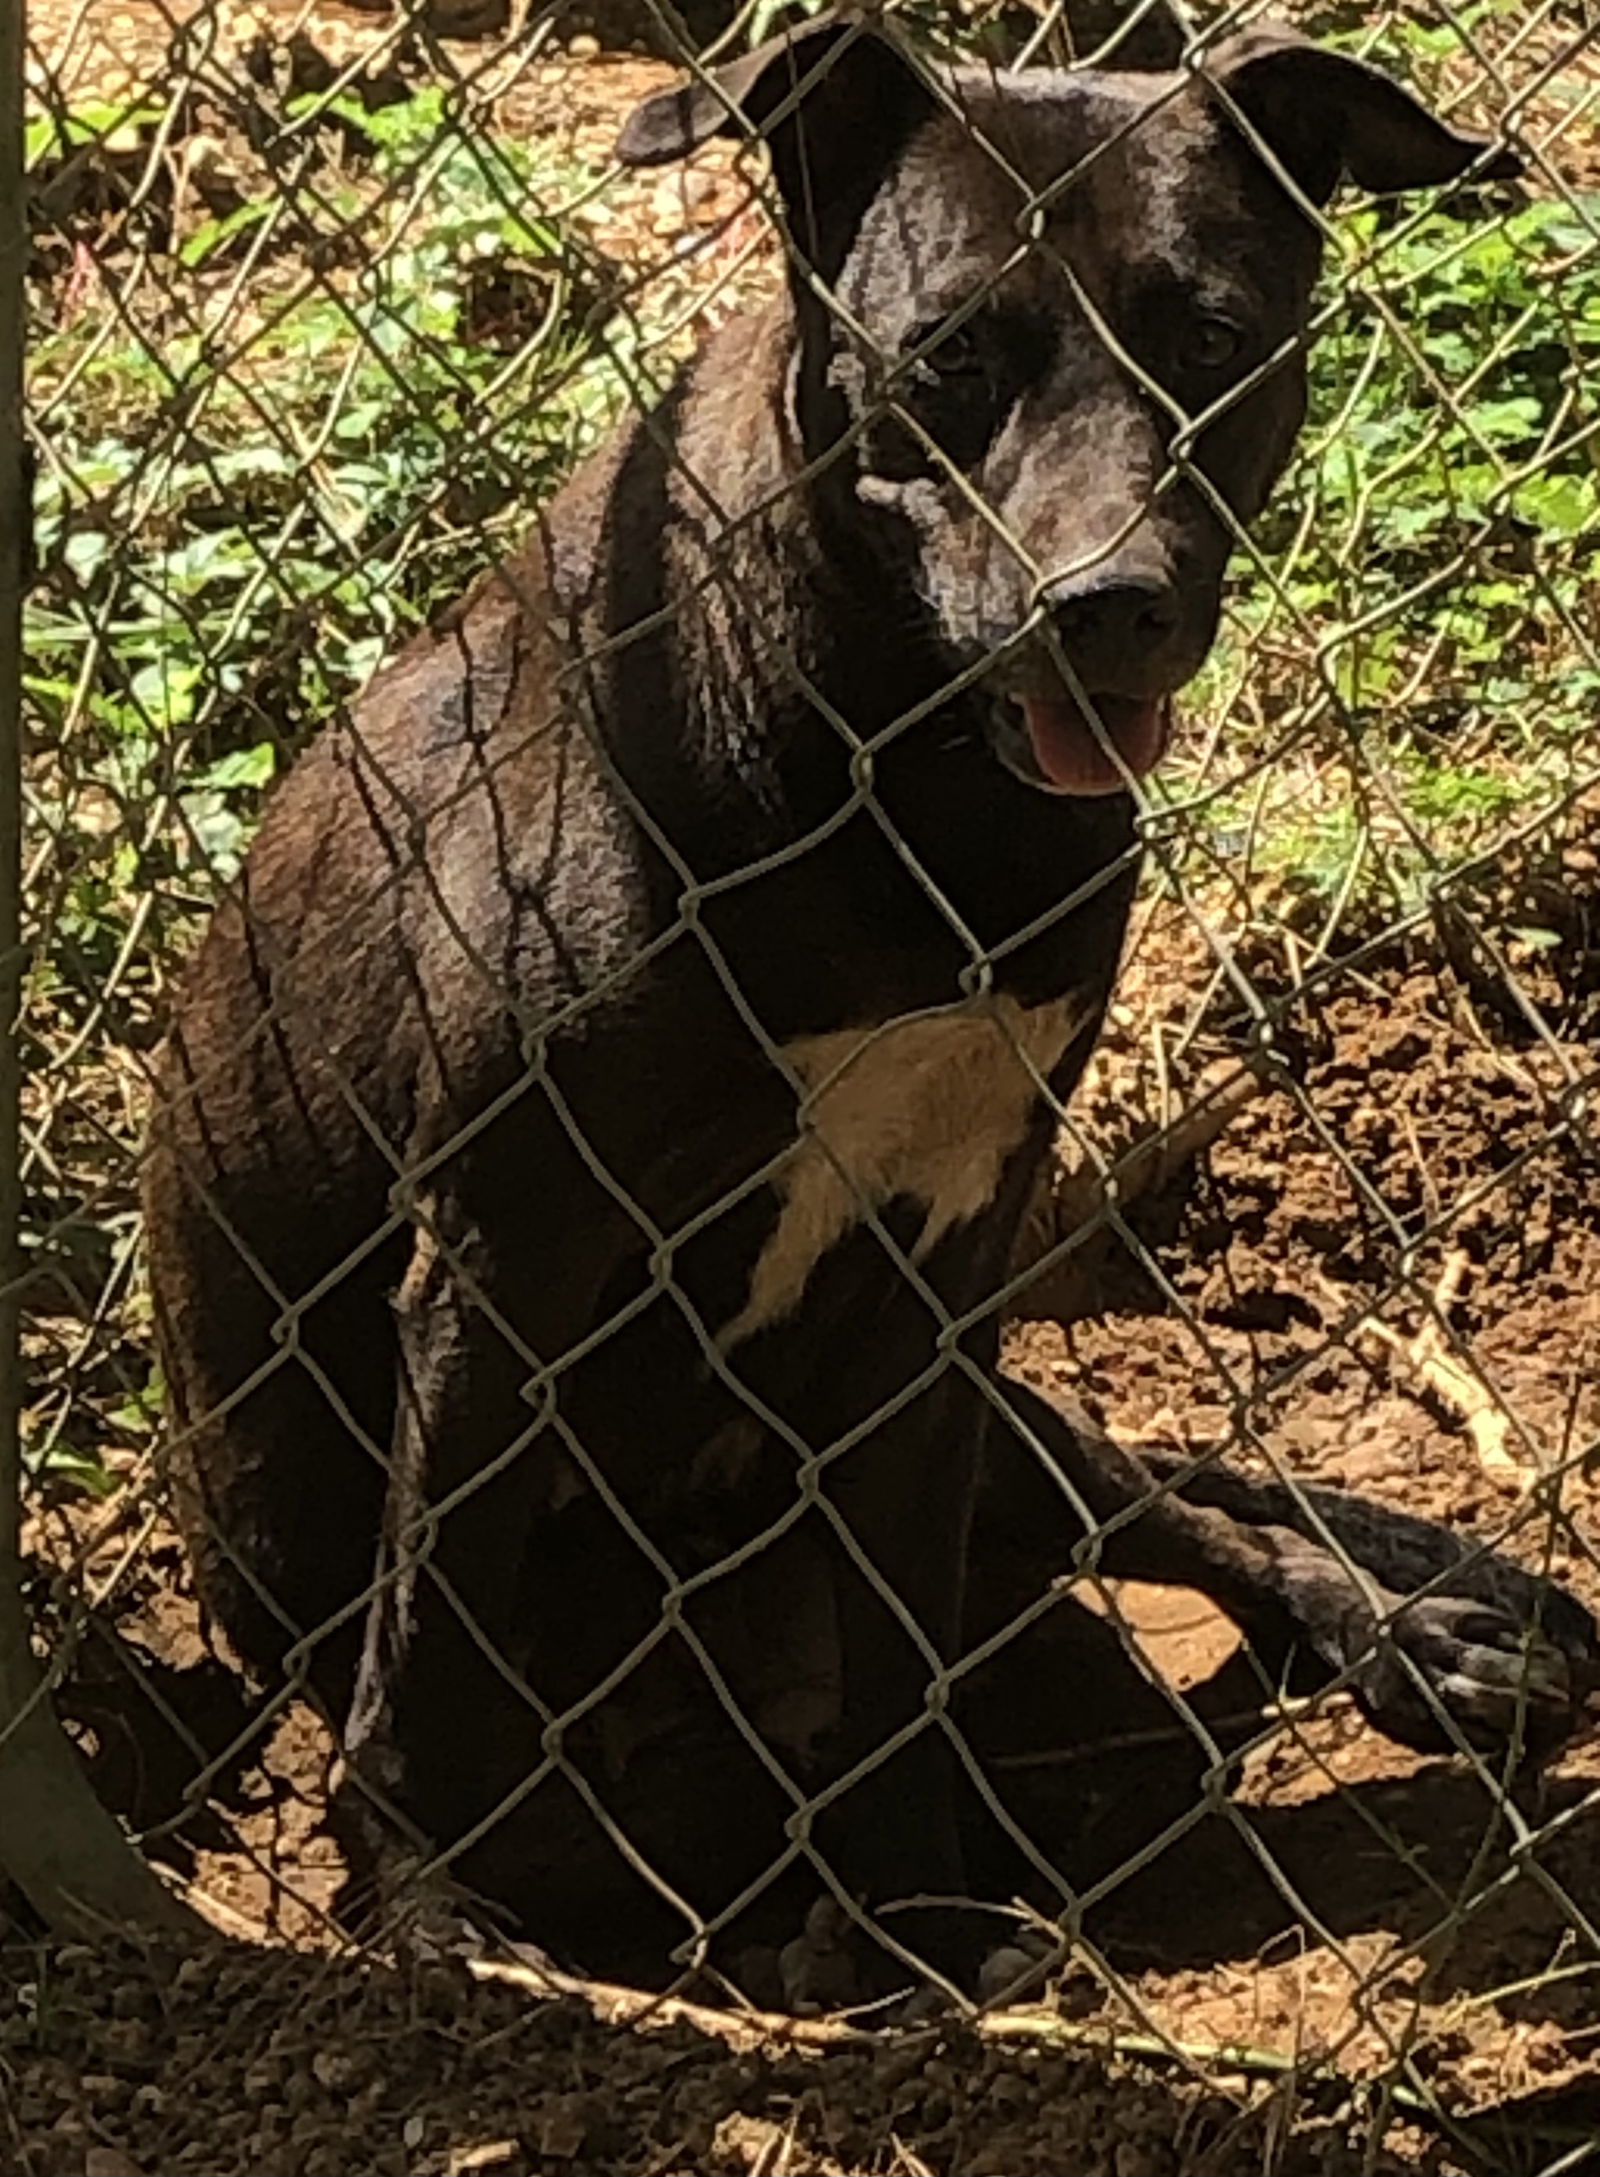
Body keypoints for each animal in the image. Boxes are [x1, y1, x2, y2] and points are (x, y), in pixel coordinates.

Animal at [143, 12, 1593, 1994]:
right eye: (953, 356)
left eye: (1213, 337)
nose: (1108, 605)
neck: (909, 780)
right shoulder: (510, 1255)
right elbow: (432, 1631)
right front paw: (434, 1909)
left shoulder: (948, 1257)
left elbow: (907, 1638)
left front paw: (914, 1910)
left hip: (995, 1409)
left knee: (1160, 1502)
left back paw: (1412, 1641)